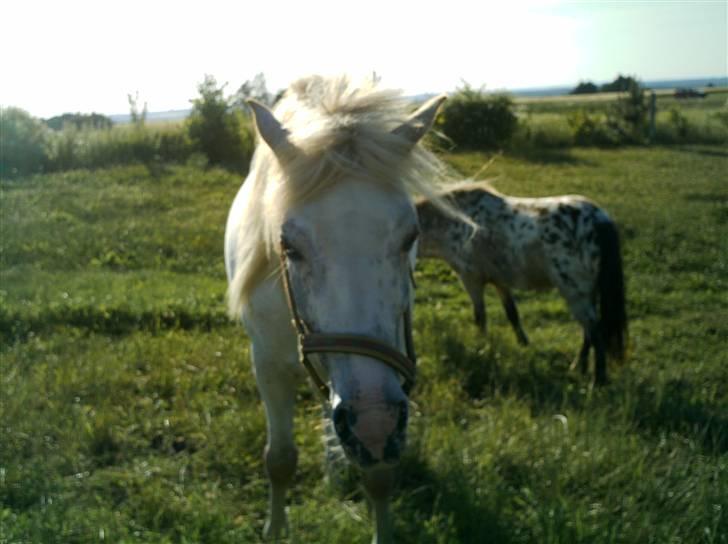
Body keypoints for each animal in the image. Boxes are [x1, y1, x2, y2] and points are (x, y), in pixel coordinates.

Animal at [228, 77, 452, 544]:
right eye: (288, 246)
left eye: (411, 237)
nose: (373, 423)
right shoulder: (267, 365)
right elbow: (280, 458)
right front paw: (276, 529)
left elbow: (380, 475)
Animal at [418, 181, 628, 384]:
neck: (458, 223)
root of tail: (599, 220)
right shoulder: (499, 281)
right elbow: (512, 314)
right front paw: (523, 344)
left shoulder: (471, 279)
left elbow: (480, 318)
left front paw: (481, 346)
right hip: (587, 293)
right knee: (588, 331)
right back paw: (579, 366)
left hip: (575, 293)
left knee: (595, 330)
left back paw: (598, 379)